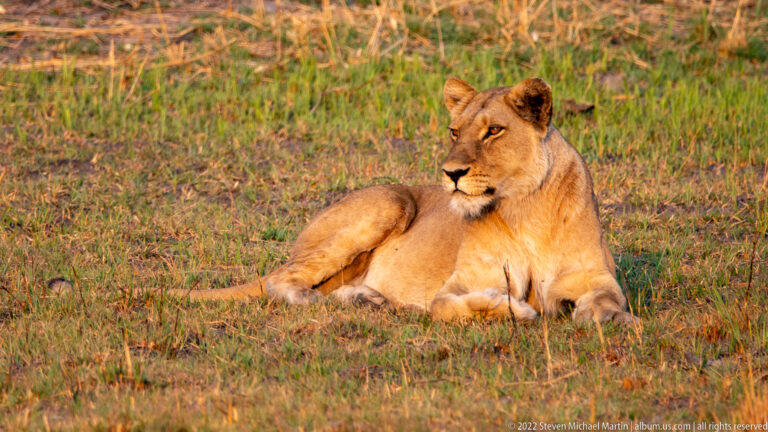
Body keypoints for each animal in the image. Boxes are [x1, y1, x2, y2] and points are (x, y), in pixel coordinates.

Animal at [163, 77, 634, 323]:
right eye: (454, 131)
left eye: (493, 131)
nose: (451, 174)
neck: (524, 209)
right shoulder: (459, 285)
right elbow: (454, 306)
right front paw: (517, 308)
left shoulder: (595, 276)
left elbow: (607, 300)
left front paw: (604, 317)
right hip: (390, 202)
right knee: (283, 282)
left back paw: (368, 299)